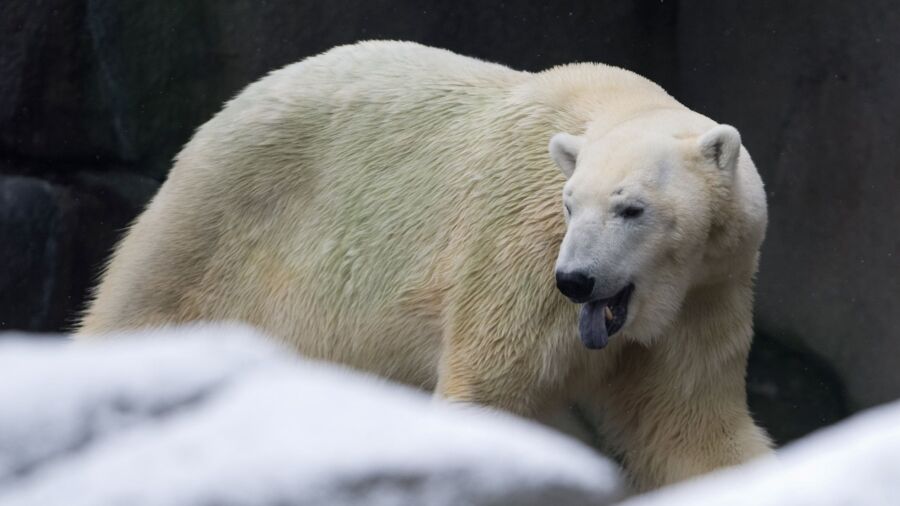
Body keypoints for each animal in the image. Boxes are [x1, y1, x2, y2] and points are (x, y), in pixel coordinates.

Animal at [77, 41, 772, 491]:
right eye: (570, 204)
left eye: (631, 208)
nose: (575, 280)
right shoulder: (518, 254)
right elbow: (491, 387)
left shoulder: (706, 292)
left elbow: (690, 428)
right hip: (217, 228)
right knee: (139, 310)